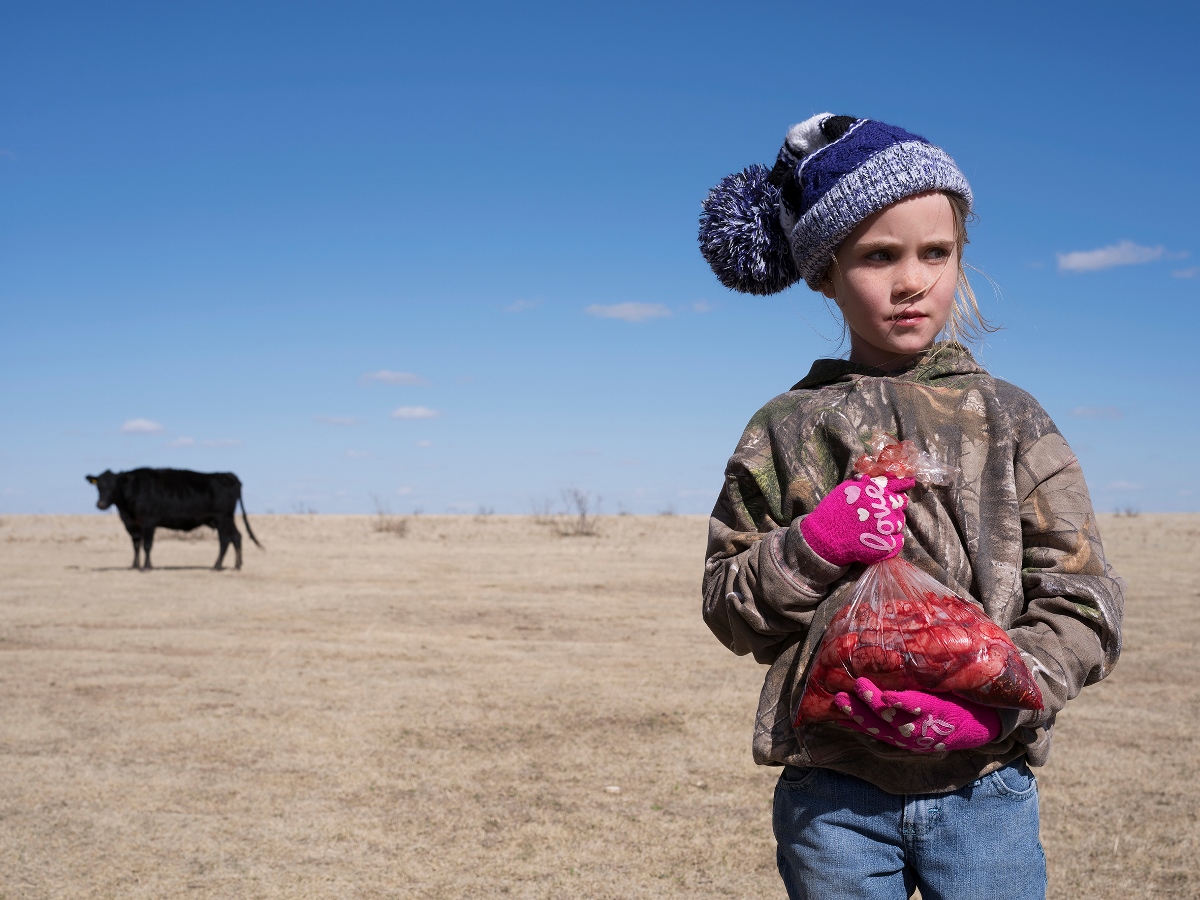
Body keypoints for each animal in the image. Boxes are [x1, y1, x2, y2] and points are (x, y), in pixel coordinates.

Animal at [88, 472, 265, 571]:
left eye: (114, 486)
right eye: (98, 486)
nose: (101, 504)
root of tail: (229, 476)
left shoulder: (149, 522)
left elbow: (147, 545)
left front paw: (146, 567)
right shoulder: (133, 525)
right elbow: (136, 545)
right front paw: (134, 566)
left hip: (222, 518)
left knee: (225, 540)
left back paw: (217, 566)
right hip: (224, 519)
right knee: (236, 536)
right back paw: (237, 566)